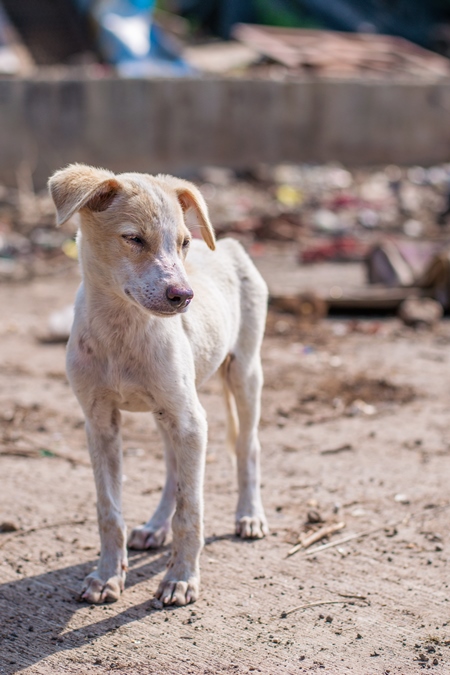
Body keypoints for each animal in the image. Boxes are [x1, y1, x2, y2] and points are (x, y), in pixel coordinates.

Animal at [48, 164, 268, 608]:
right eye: (134, 239)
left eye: (184, 243)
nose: (184, 296)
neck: (122, 329)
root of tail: (230, 244)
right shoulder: (100, 422)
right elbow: (109, 510)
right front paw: (106, 576)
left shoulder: (191, 420)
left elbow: (191, 509)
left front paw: (182, 578)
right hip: (165, 412)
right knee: (171, 468)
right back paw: (155, 527)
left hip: (243, 373)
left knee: (247, 446)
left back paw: (250, 514)